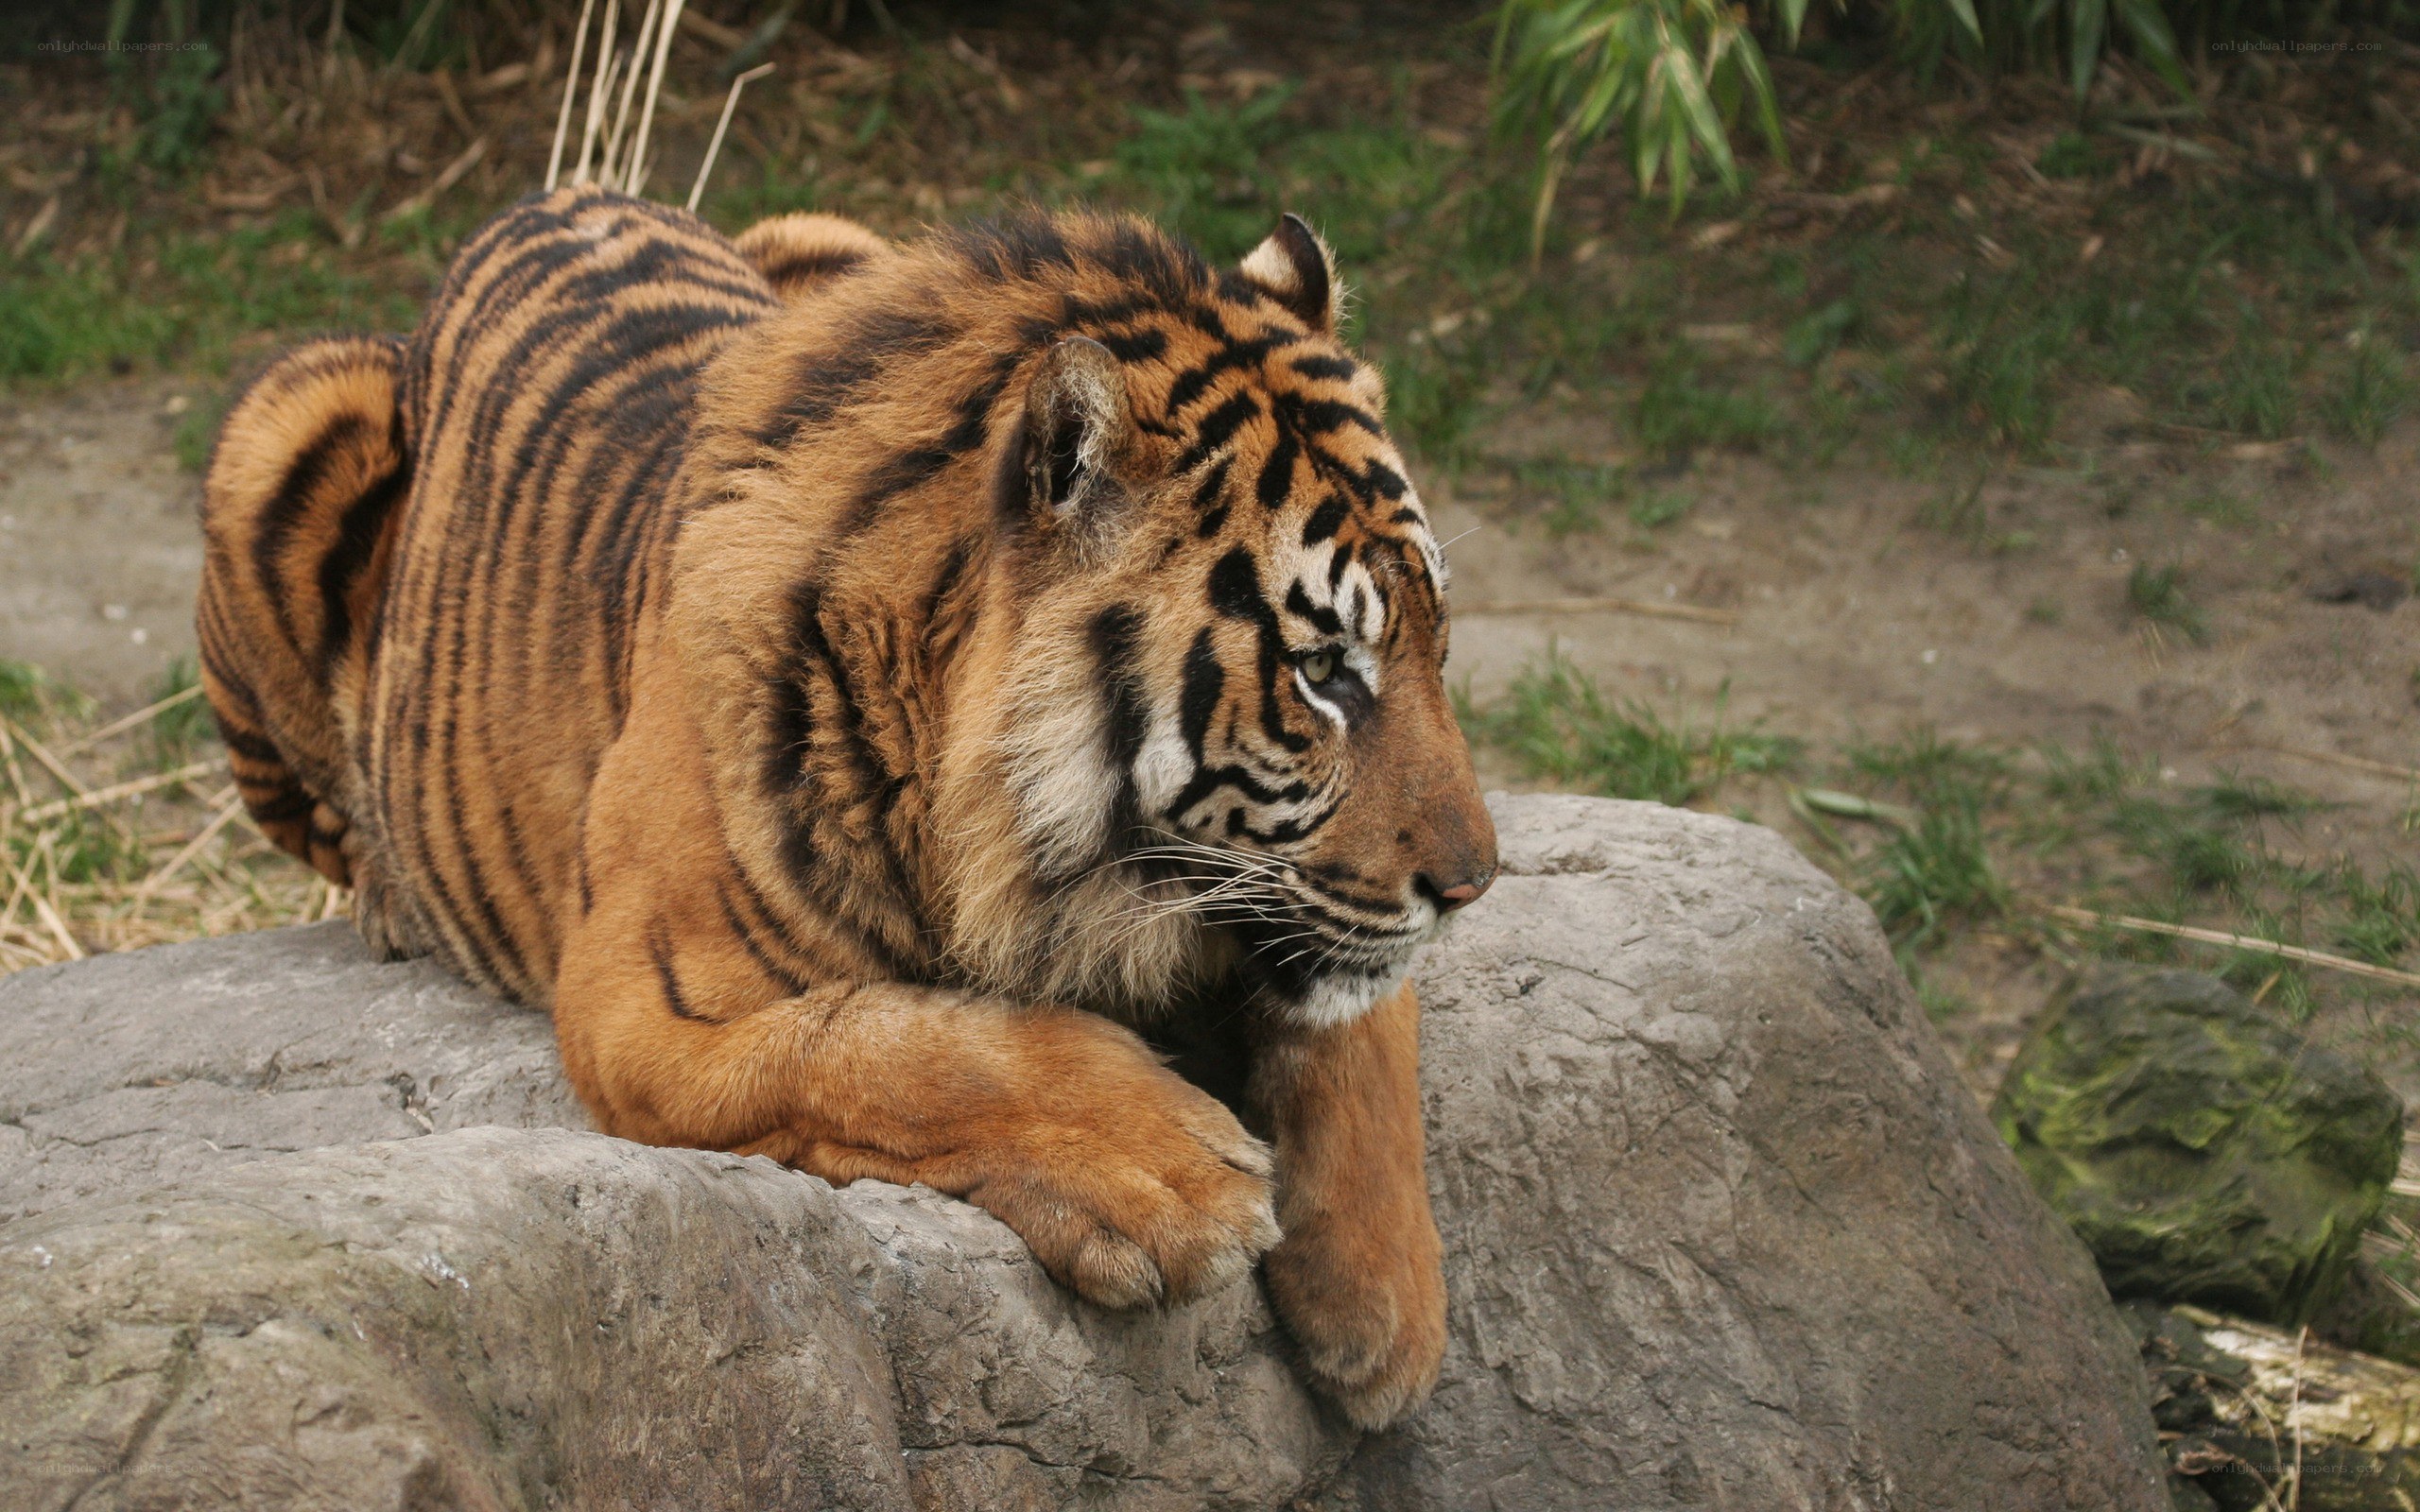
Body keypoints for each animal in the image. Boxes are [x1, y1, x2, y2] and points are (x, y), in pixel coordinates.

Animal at [196, 185, 1496, 1429]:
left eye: (1435, 640)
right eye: (1322, 670)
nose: (1476, 882)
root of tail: (547, 199)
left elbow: (1363, 1028)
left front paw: (1387, 1311)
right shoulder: (638, 997)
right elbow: (894, 1044)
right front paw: (1172, 1173)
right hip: (281, 420)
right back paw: (386, 899)